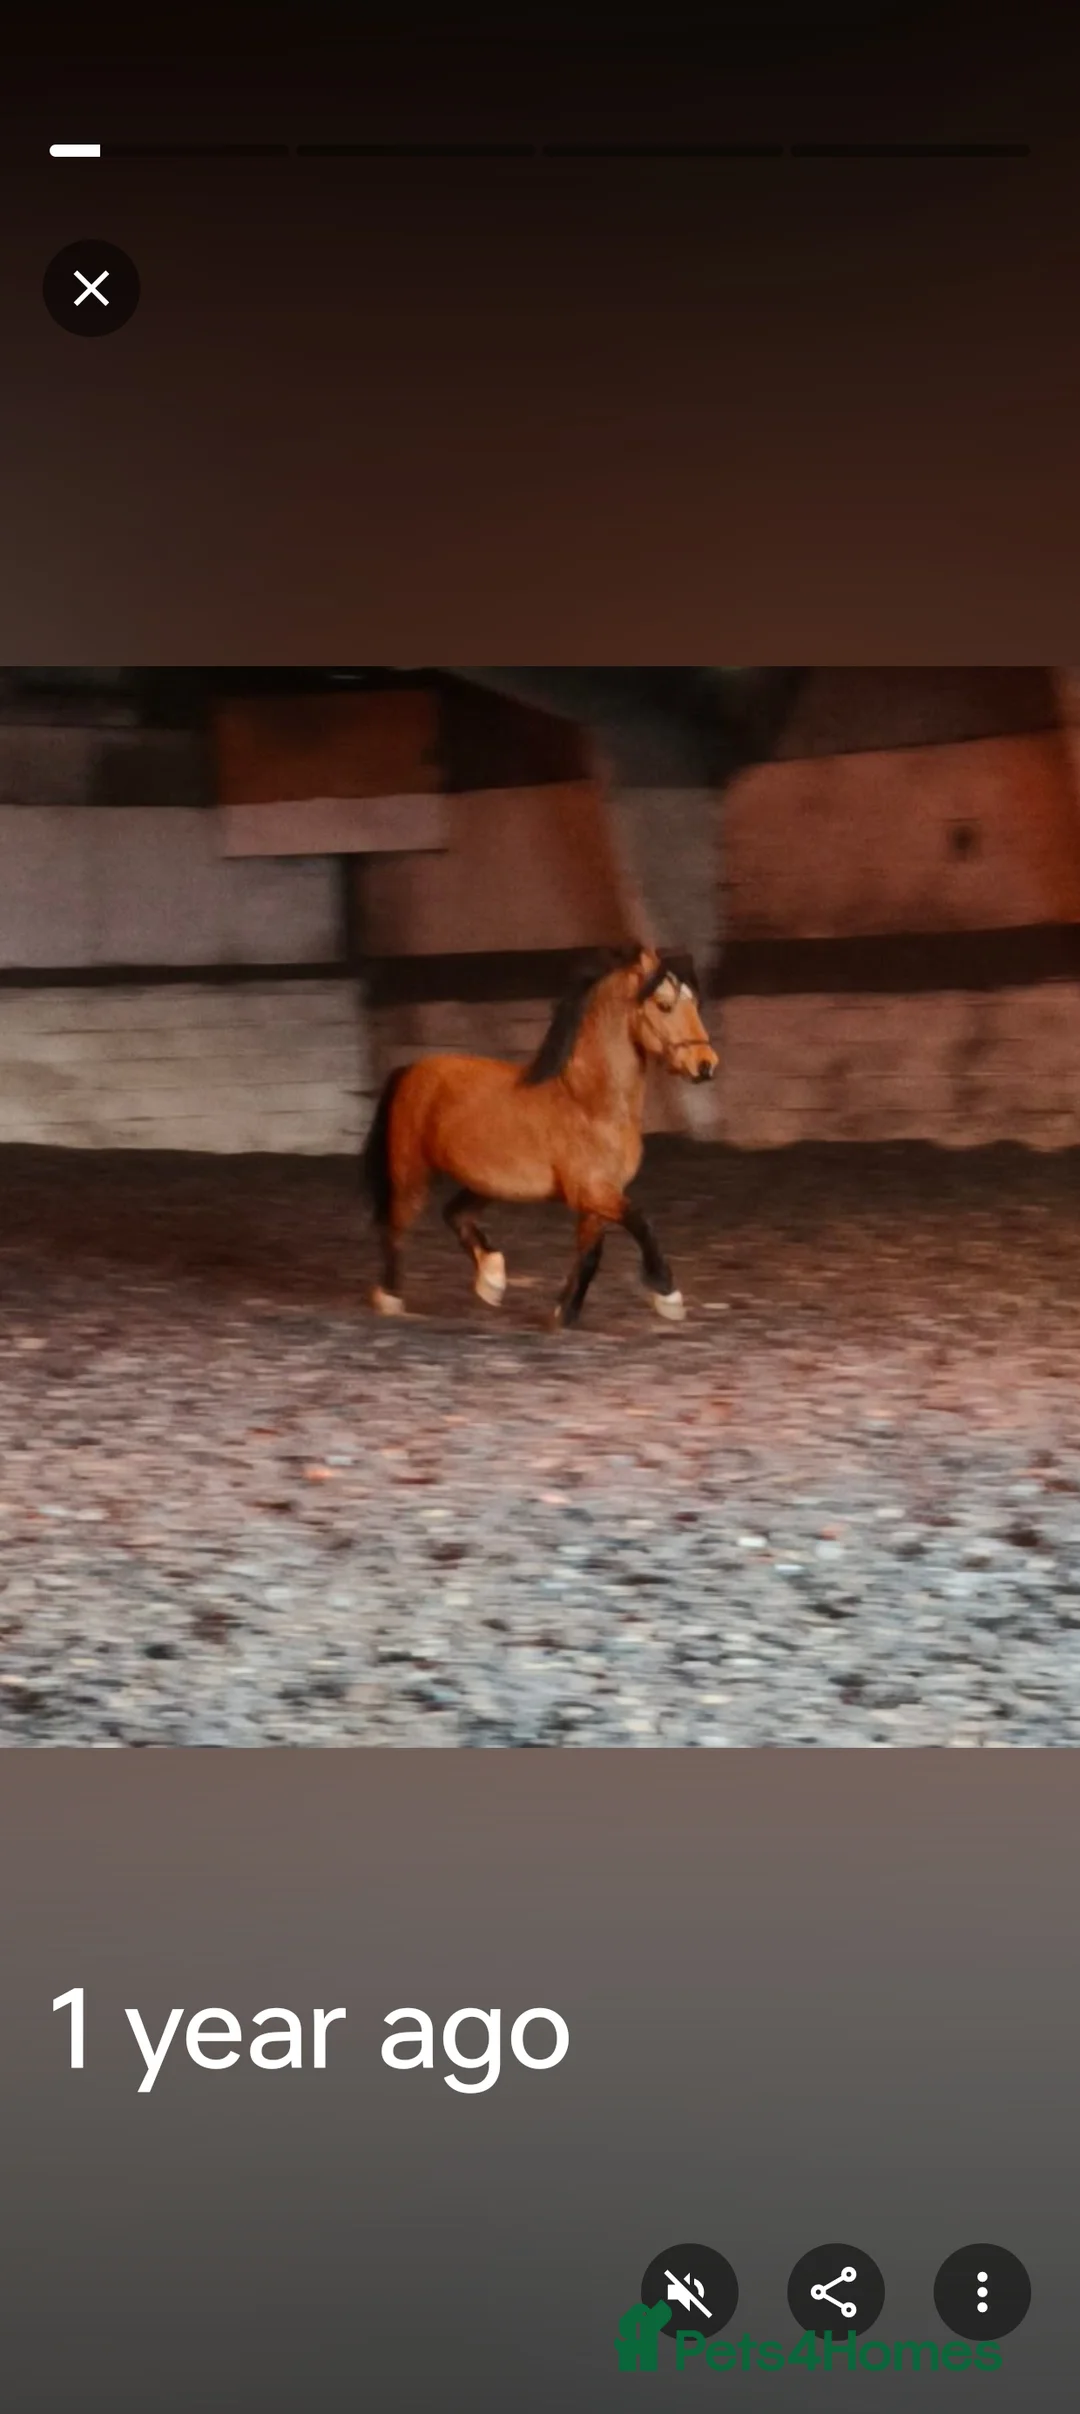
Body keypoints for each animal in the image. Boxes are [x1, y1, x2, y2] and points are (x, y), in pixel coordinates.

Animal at [360, 943, 719, 1328]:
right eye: (664, 1005)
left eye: (694, 1002)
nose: (706, 1064)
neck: (589, 1102)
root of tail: (409, 1069)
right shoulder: (592, 1192)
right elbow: (641, 1221)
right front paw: (667, 1294)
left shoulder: (599, 1199)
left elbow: (590, 1254)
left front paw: (564, 1314)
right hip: (412, 1171)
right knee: (397, 1223)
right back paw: (391, 1297)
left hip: (486, 1182)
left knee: (454, 1213)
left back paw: (491, 1279)